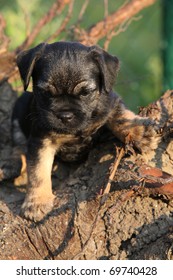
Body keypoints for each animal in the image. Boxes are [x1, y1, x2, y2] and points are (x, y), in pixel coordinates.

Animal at [14, 41, 157, 221]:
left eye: (86, 93)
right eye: (45, 93)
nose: (65, 115)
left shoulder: (109, 103)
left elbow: (120, 117)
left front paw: (141, 133)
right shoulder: (40, 141)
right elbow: (38, 171)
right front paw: (37, 202)